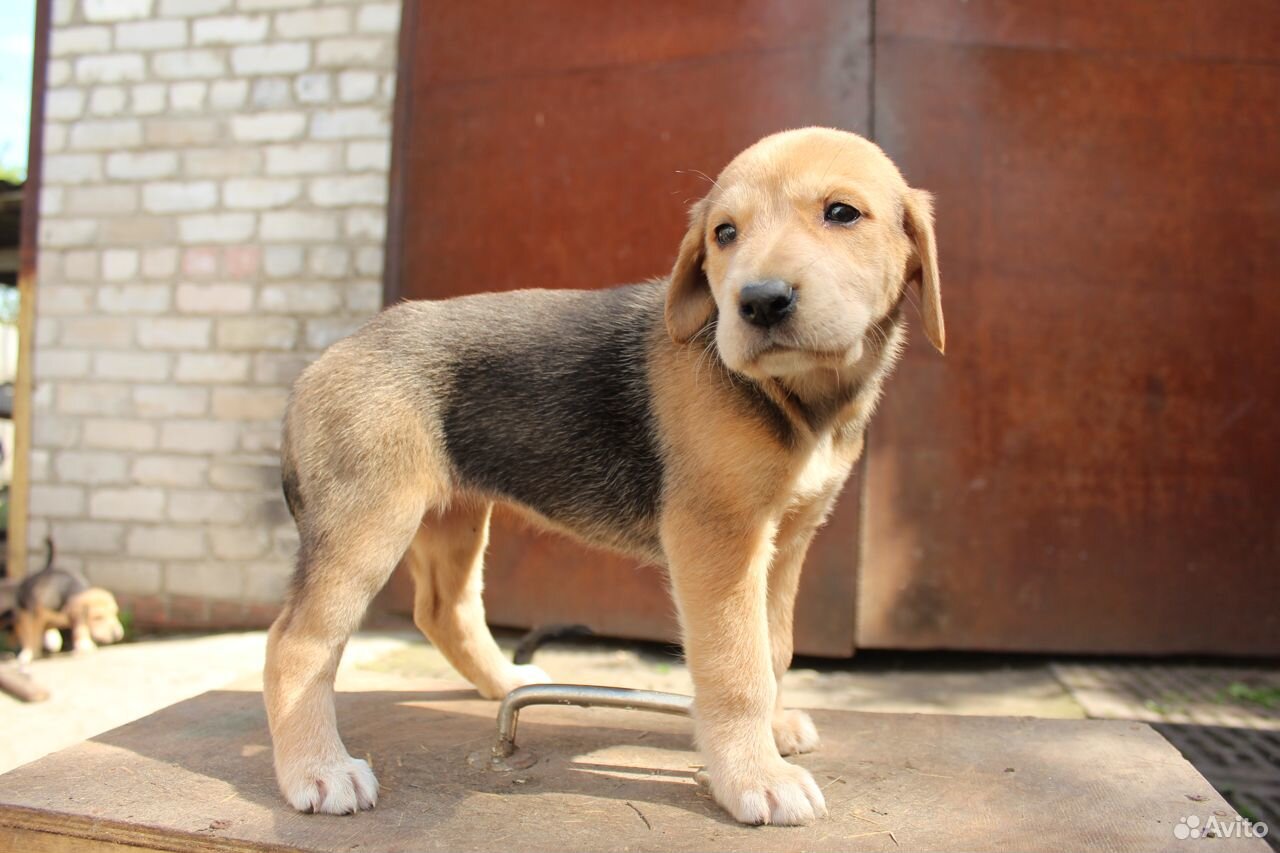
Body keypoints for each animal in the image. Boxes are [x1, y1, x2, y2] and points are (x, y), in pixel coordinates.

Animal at [14, 537, 124, 666]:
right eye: (97, 617)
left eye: (115, 614)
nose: (118, 635)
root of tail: (46, 569)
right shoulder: (37, 616)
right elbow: (33, 635)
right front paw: (31, 653)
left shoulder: (77, 618)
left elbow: (80, 629)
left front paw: (84, 645)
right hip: (24, 612)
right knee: (24, 630)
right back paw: (28, 651)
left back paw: (53, 639)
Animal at [264, 128, 942, 824]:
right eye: (724, 233)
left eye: (842, 213)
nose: (759, 301)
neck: (799, 396)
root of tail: (327, 357)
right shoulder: (719, 540)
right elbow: (738, 666)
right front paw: (755, 777)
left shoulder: (789, 540)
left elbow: (773, 647)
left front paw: (772, 734)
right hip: (368, 521)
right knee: (297, 644)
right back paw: (317, 769)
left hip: (453, 515)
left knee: (443, 611)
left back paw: (507, 683)